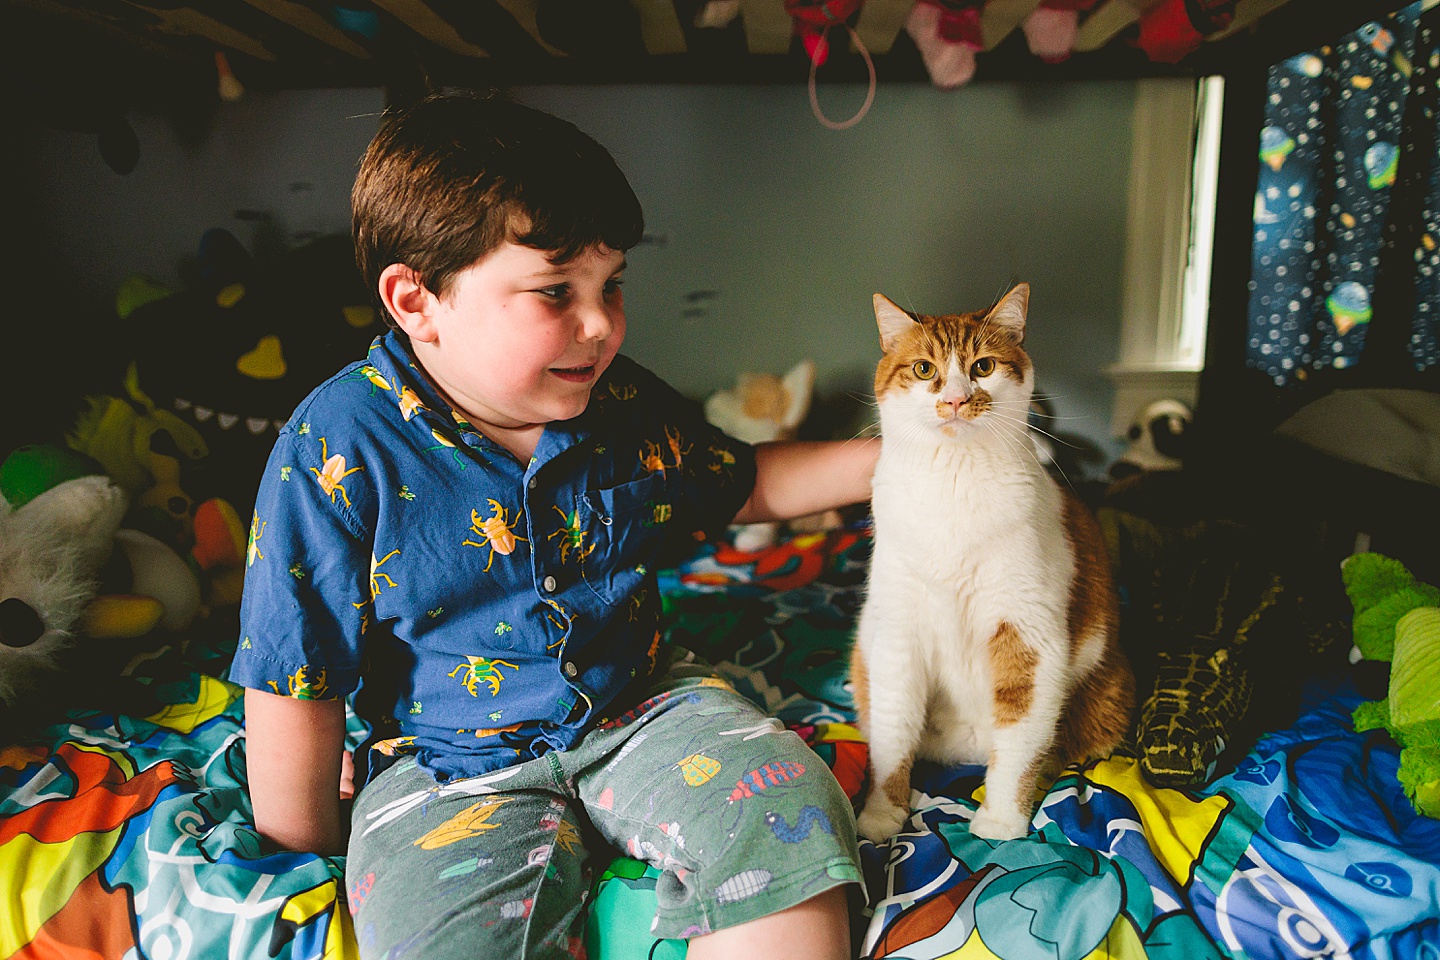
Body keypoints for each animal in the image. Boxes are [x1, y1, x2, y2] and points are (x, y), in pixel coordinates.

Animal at [846, 283, 1128, 840]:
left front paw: (1001, 819)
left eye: (983, 366)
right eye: (924, 369)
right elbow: (892, 732)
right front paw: (881, 814)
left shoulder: (1027, 635)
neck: (953, 481)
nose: (955, 398)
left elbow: (1018, 742)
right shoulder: (897, 633)